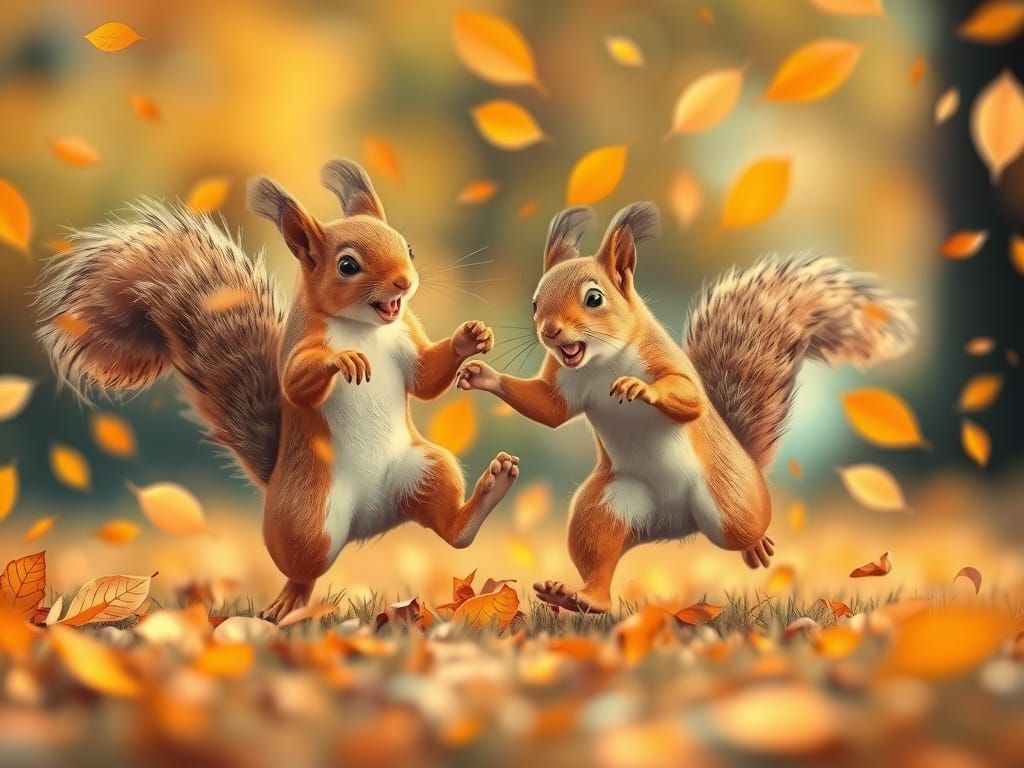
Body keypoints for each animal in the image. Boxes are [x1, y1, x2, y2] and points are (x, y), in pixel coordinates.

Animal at [35, 158, 520, 622]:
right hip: (305, 517)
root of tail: (367, 520)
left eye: (409, 249)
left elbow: (425, 379)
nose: (404, 282)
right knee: (303, 571)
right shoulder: (301, 347)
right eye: (348, 265)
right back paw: (287, 604)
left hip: (425, 469)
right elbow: (296, 385)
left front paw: (471, 338)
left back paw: (491, 487)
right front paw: (342, 362)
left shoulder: (406, 338)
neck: (363, 328)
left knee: (453, 532)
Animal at [456, 203, 915, 614]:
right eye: (535, 303)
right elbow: (549, 410)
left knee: (745, 527)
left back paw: (756, 545)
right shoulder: (566, 385)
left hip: (731, 505)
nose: (550, 331)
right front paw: (480, 375)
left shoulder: (664, 361)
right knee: (599, 551)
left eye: (594, 298)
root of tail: (677, 522)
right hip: (605, 505)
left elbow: (689, 398)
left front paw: (640, 388)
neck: (600, 362)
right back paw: (580, 597)